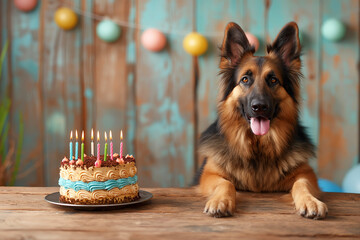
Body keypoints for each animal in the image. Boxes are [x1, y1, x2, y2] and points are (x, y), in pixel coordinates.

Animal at [198, 22, 328, 219]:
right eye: (245, 79)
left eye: (273, 80)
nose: (259, 106)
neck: (258, 147)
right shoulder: (209, 175)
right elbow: (226, 183)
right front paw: (220, 201)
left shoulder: (307, 174)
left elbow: (302, 184)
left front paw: (310, 201)